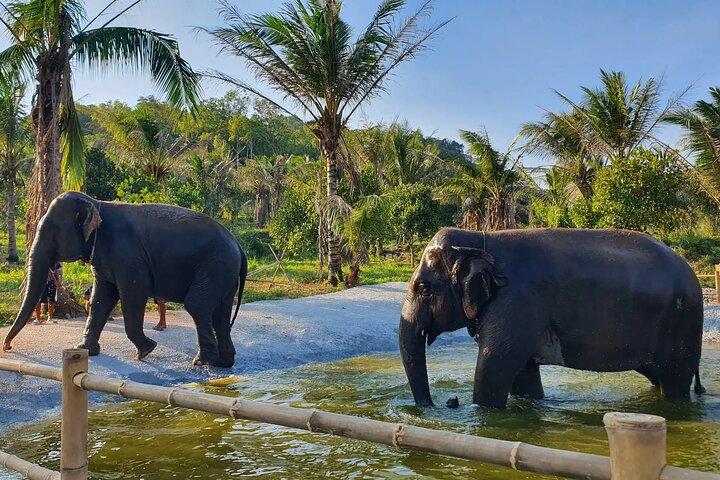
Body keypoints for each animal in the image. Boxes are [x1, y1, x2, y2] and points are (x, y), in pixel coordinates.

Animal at [2, 192, 248, 368]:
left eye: (52, 231)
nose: (7, 347)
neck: (96, 203)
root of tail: (239, 246)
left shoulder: (128, 256)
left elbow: (133, 293)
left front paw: (146, 350)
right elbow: (101, 298)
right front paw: (83, 349)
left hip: (216, 265)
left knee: (197, 306)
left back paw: (202, 362)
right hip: (223, 272)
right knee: (220, 312)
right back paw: (224, 362)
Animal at [399, 227, 704, 408]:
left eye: (423, 288)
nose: (447, 402)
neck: (480, 238)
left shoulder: (516, 301)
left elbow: (494, 365)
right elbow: (522, 373)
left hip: (682, 323)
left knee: (675, 380)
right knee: (659, 377)